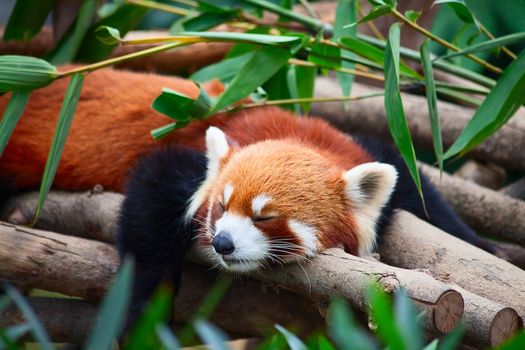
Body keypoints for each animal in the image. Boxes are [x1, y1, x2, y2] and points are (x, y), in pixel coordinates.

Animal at [0, 66, 498, 328]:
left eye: (264, 218)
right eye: (221, 207)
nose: (223, 243)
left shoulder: (356, 146)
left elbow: (418, 189)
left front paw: (482, 245)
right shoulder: (182, 163)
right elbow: (151, 202)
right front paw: (145, 307)